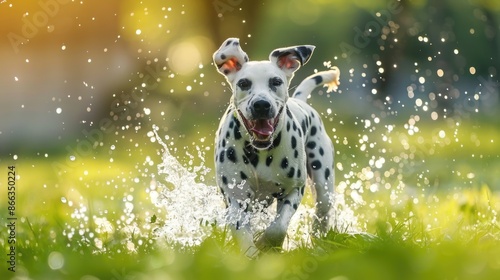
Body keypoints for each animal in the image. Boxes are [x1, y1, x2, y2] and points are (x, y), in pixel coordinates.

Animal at [211, 37, 340, 258]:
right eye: (244, 83)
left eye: (276, 81)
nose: (261, 105)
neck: (259, 152)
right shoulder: (236, 197)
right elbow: (242, 232)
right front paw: (250, 254)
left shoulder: (293, 191)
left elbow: (277, 228)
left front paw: (266, 244)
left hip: (323, 184)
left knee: (322, 212)